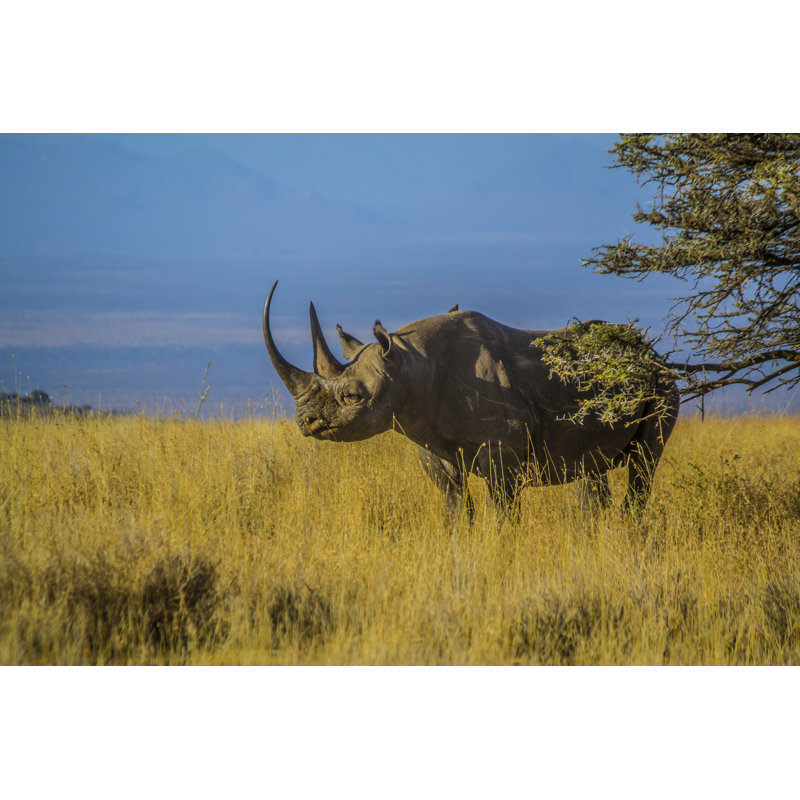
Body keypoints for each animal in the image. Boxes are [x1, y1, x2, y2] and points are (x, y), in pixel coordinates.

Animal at [262, 281, 679, 519]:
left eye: (352, 396)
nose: (306, 422)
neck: (411, 367)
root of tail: (651, 353)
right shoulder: (432, 448)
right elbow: (457, 510)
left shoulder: (501, 450)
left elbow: (504, 513)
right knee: (590, 470)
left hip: (662, 384)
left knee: (644, 462)